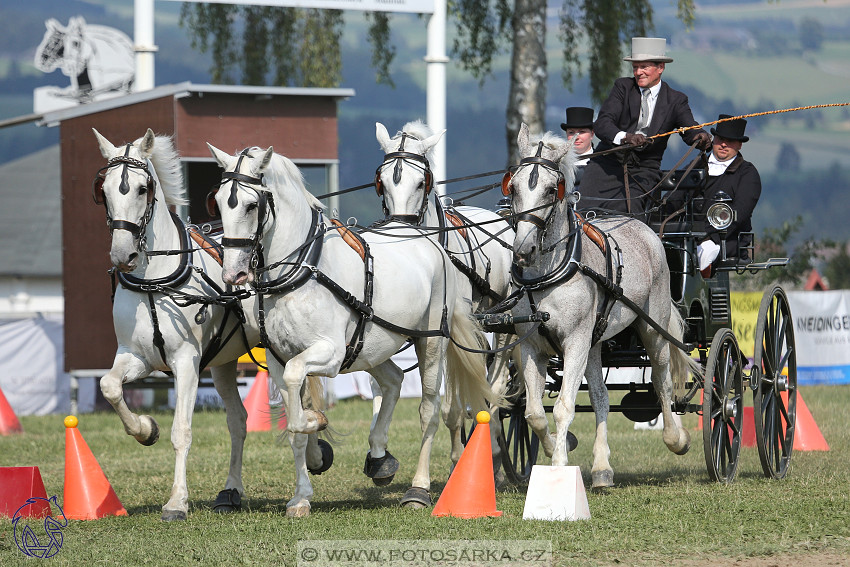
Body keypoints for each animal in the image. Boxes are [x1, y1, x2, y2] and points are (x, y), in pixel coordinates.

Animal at [92, 127, 264, 520]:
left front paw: (176, 501)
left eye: (143, 189)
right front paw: (145, 429)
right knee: (238, 421)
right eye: (103, 190)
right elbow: (109, 386)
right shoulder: (137, 356)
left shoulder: (186, 361)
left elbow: (181, 431)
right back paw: (231, 492)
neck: (153, 280)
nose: (122, 255)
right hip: (223, 363)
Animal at [206, 144, 496, 516]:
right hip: (373, 345)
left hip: (430, 342)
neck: (302, 271)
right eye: (219, 202)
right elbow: (294, 421)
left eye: (251, 205)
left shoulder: (328, 354)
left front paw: (317, 423)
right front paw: (301, 494)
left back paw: (418, 489)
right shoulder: (278, 358)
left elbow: (299, 406)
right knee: (393, 381)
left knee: (429, 411)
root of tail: (427, 239)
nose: (233, 274)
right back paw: (380, 459)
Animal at [372, 121, 516, 480]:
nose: (400, 231)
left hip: (503, 323)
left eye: (422, 181)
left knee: (496, 384)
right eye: (382, 181)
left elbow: (452, 404)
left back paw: (495, 451)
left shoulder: (448, 333)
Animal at [500, 124, 700, 488]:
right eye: (514, 186)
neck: (547, 276)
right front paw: (559, 444)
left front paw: (559, 468)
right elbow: (534, 413)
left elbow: (563, 407)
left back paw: (676, 438)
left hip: (652, 329)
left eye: (550, 189)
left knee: (662, 381)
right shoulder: (532, 346)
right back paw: (602, 469)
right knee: (600, 396)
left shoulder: (575, 342)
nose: (523, 251)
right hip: (594, 344)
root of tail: (644, 227)